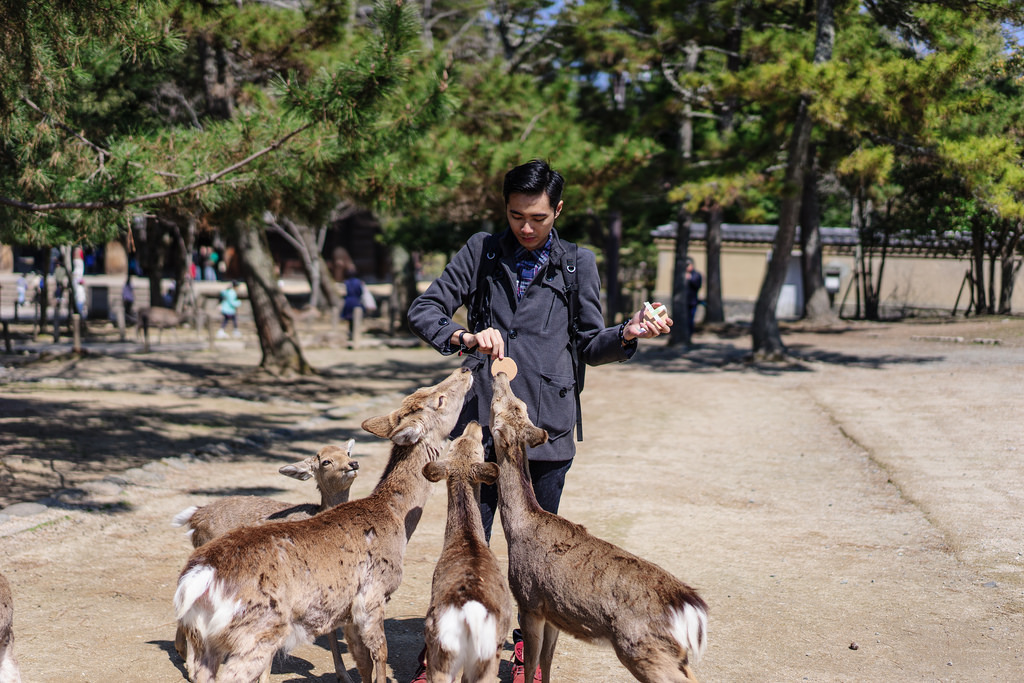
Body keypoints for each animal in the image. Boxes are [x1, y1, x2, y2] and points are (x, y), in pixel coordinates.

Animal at [169, 440, 358, 679]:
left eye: (348, 452)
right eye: (325, 461)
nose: (353, 463)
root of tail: (195, 516)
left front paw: (345, 675)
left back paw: (184, 654)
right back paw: (189, 663)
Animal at [419, 421, 512, 683]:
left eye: (461, 442)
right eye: (480, 449)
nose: (474, 423)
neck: (467, 538)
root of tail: (469, 614)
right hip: (481, 655)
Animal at [491, 374, 708, 683]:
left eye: (498, 406)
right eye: (519, 404)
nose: (499, 375)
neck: (518, 528)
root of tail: (689, 607)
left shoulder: (529, 599)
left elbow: (532, 663)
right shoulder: (555, 610)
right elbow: (547, 660)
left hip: (640, 644)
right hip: (673, 651)